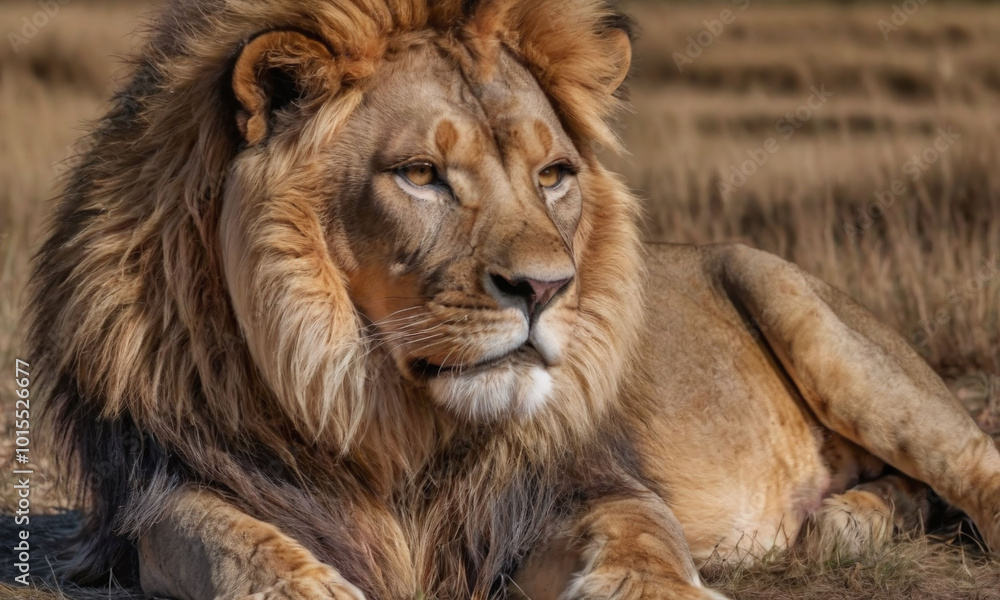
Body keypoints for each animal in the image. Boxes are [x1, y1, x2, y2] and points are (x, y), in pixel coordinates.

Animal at [25, 0, 1000, 599]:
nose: (547, 288)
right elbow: (230, 546)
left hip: (802, 306)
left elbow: (640, 537)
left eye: (554, 175)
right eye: (421, 175)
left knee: (970, 469)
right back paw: (841, 522)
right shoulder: (170, 486)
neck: (387, 414)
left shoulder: (571, 484)